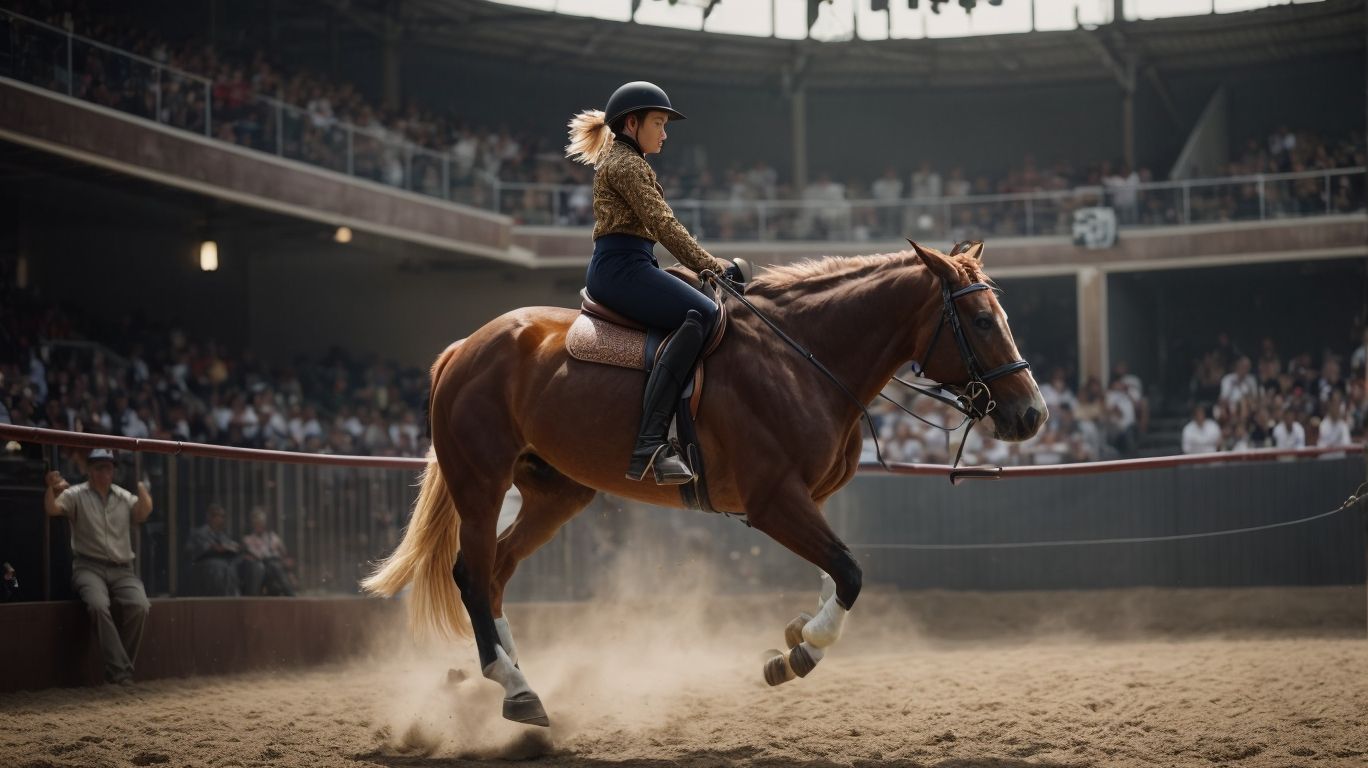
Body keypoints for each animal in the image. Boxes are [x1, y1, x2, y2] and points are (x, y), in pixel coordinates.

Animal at [362, 240, 1047, 727]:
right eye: (981, 321)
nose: (1032, 415)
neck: (801, 360)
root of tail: (463, 349)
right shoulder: (774, 502)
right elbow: (850, 574)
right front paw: (799, 653)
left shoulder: (813, 500)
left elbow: (835, 572)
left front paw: (798, 629)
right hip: (480, 484)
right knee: (473, 575)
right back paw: (516, 690)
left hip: (555, 493)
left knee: (498, 572)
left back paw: (512, 672)